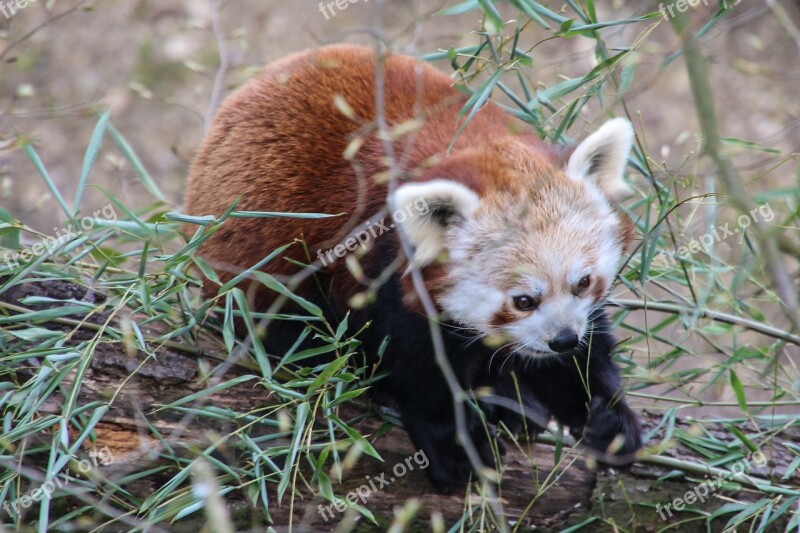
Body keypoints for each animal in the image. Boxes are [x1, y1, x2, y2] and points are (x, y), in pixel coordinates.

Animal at [184, 44, 640, 490]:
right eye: (523, 300)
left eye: (583, 282)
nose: (562, 339)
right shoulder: (376, 264)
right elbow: (416, 366)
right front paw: (456, 446)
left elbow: (583, 357)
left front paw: (609, 416)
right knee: (291, 330)